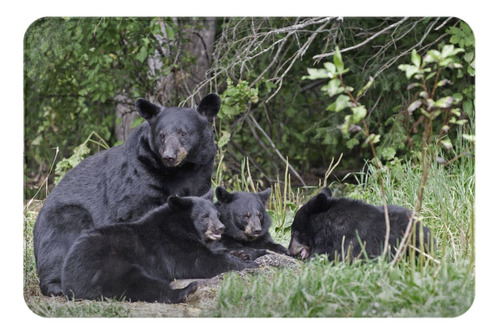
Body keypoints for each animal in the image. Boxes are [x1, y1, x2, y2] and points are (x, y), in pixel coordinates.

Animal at [33, 93, 221, 294]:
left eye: (183, 133)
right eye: (161, 135)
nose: (169, 156)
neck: (179, 171)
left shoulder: (201, 174)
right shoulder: (140, 176)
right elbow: (137, 214)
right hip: (63, 221)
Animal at [61, 190, 258, 302]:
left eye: (217, 214)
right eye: (204, 216)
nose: (221, 228)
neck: (182, 225)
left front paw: (243, 254)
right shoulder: (173, 245)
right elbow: (201, 262)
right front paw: (249, 264)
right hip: (106, 264)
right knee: (135, 283)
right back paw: (186, 291)